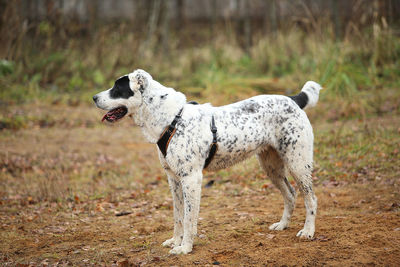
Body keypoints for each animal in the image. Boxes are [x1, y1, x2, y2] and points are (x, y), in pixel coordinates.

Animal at [94, 69, 322, 255]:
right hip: (271, 167)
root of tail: (293, 100)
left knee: (310, 198)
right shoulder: (173, 180)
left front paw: (185, 248)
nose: (93, 97)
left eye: (117, 88)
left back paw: (308, 231)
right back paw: (282, 225)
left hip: (297, 163)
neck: (172, 120)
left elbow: (189, 219)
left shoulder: (191, 179)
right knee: (290, 194)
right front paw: (175, 241)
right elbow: (178, 216)